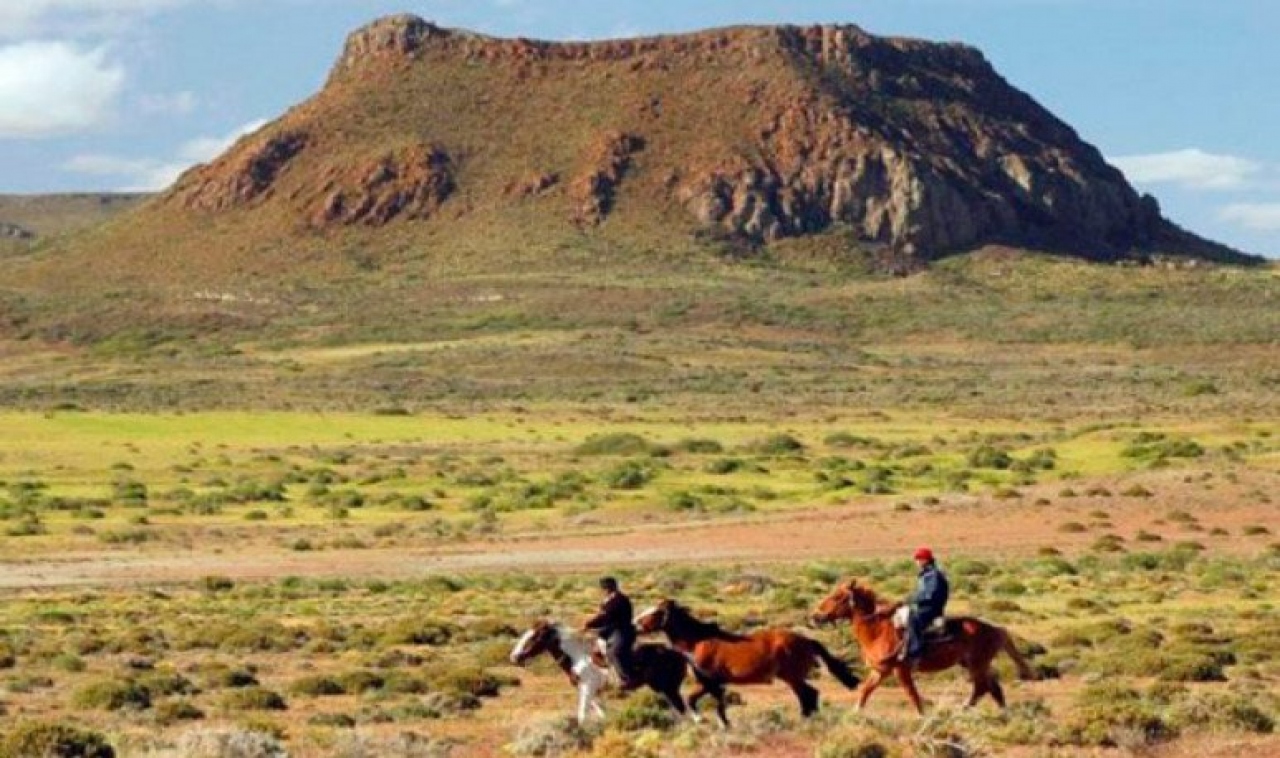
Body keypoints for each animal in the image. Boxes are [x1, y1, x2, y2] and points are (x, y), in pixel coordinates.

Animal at [509, 622, 691, 722]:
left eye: (533, 637)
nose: (514, 657)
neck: (578, 657)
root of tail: (680, 654)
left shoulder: (587, 689)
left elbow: (582, 715)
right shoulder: (590, 691)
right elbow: (600, 711)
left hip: (668, 687)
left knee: (682, 709)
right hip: (664, 688)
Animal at [632, 599, 860, 727]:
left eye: (656, 612)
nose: (634, 624)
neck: (699, 641)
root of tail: (807, 640)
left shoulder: (711, 682)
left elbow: (698, 701)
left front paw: (708, 721)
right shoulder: (712, 684)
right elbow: (706, 702)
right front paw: (721, 724)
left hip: (792, 677)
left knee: (808, 695)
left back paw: (806, 722)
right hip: (793, 678)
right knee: (809, 696)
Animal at [808, 581, 1039, 717]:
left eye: (837, 597)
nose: (816, 616)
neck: (878, 630)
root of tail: (994, 628)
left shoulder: (900, 670)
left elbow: (911, 693)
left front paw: (922, 715)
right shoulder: (881, 671)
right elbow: (866, 690)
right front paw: (855, 713)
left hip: (976, 664)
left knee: (982, 687)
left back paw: (964, 708)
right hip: (973, 664)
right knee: (993, 687)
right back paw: (1003, 713)